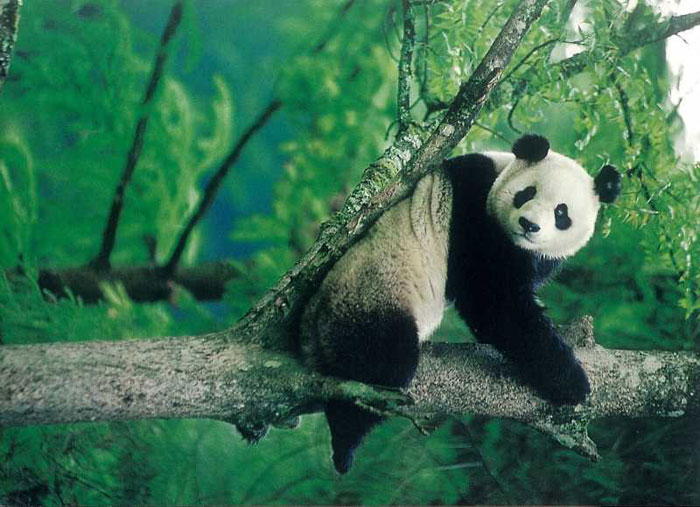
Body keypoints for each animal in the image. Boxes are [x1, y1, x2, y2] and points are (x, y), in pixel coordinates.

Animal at [300, 134, 622, 474]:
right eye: (526, 193)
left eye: (562, 213)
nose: (529, 225)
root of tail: (309, 333)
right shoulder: (473, 216)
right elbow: (494, 306)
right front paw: (572, 382)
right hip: (369, 298)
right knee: (382, 370)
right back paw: (345, 442)